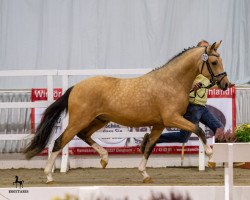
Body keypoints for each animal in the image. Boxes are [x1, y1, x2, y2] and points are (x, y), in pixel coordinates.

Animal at [23, 41, 230, 184]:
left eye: (221, 60)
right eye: (214, 61)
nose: (225, 84)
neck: (171, 82)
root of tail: (75, 87)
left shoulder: (160, 123)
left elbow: (150, 146)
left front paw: (144, 174)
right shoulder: (172, 118)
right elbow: (198, 129)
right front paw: (211, 157)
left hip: (99, 120)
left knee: (84, 135)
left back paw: (104, 159)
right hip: (79, 120)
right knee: (59, 142)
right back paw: (49, 176)